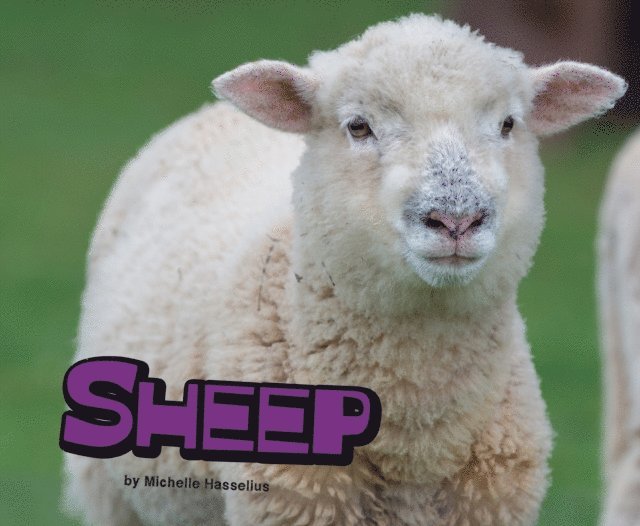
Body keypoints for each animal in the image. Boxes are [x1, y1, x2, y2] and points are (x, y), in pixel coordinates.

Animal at [62, 14, 627, 526]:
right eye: (359, 126)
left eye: (508, 124)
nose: (456, 220)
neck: (416, 432)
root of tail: (213, 112)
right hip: (111, 495)